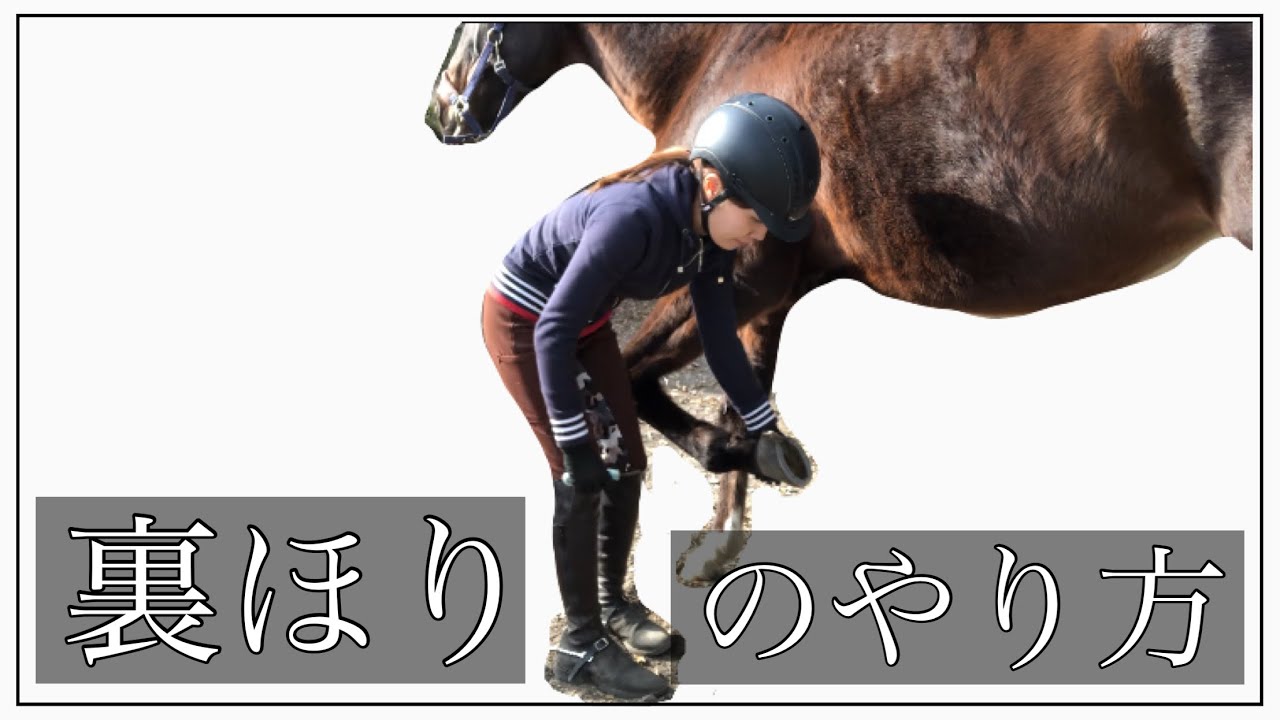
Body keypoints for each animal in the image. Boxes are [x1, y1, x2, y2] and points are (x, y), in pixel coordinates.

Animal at [427, 21, 1254, 549]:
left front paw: (731, 466)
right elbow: (743, 394)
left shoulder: (740, 280)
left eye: (477, 19)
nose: (440, 112)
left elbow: (635, 380)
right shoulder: (760, 294)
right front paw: (726, 528)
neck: (722, 51)